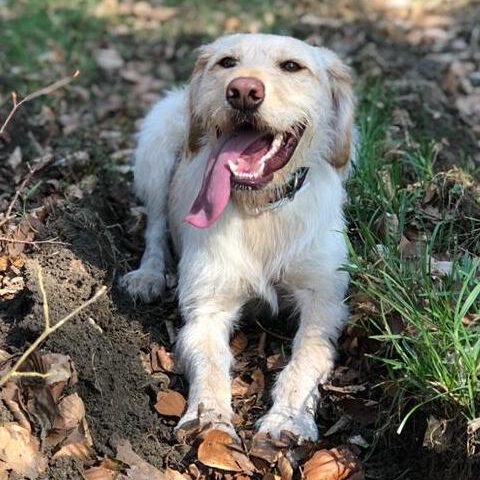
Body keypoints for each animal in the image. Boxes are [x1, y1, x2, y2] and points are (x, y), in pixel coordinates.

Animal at [122, 31, 356, 440]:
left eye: (292, 66)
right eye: (227, 62)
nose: (243, 91)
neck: (259, 208)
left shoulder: (324, 301)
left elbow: (307, 357)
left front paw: (287, 419)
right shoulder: (207, 308)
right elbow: (212, 364)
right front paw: (208, 419)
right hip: (157, 142)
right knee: (155, 226)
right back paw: (148, 275)